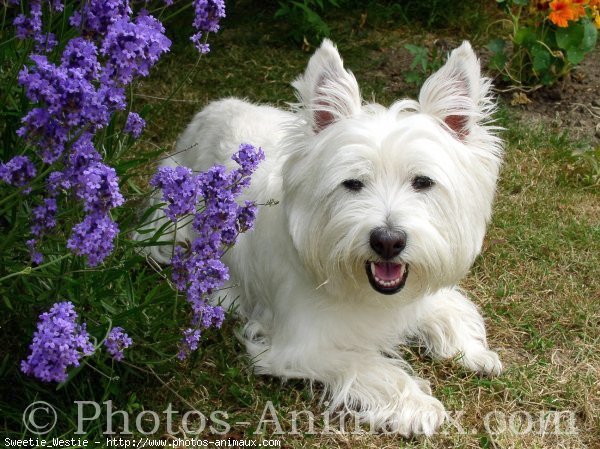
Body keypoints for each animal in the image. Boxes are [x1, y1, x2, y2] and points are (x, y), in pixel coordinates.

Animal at [143, 39, 504, 434]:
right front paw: (418, 405)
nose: (388, 241)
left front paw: (475, 353)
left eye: (422, 182)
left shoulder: (419, 290)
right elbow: (367, 364)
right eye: (353, 183)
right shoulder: (300, 346)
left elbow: (449, 310)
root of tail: (211, 110)